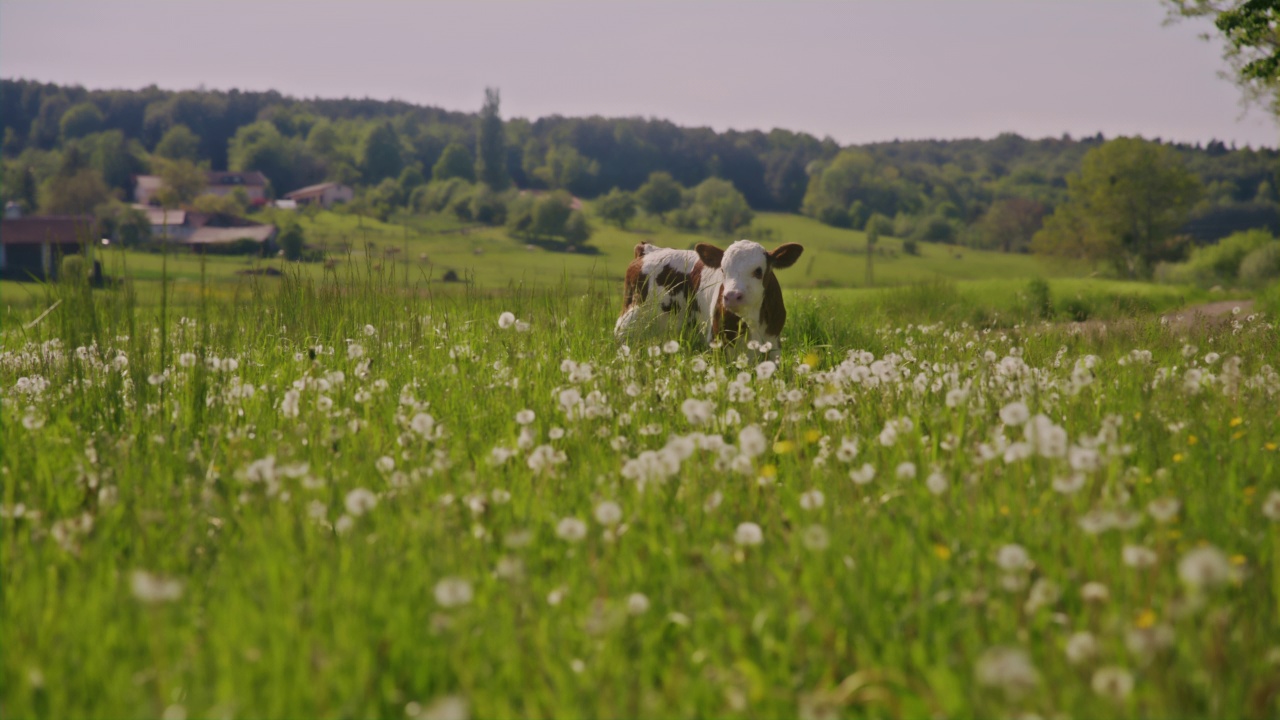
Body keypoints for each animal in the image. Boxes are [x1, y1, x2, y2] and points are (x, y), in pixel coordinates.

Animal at [614, 239, 803, 353]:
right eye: (723, 270)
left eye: (758, 271)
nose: (732, 296)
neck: (751, 321)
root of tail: (647, 250)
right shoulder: (717, 341)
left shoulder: (773, 343)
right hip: (629, 322)